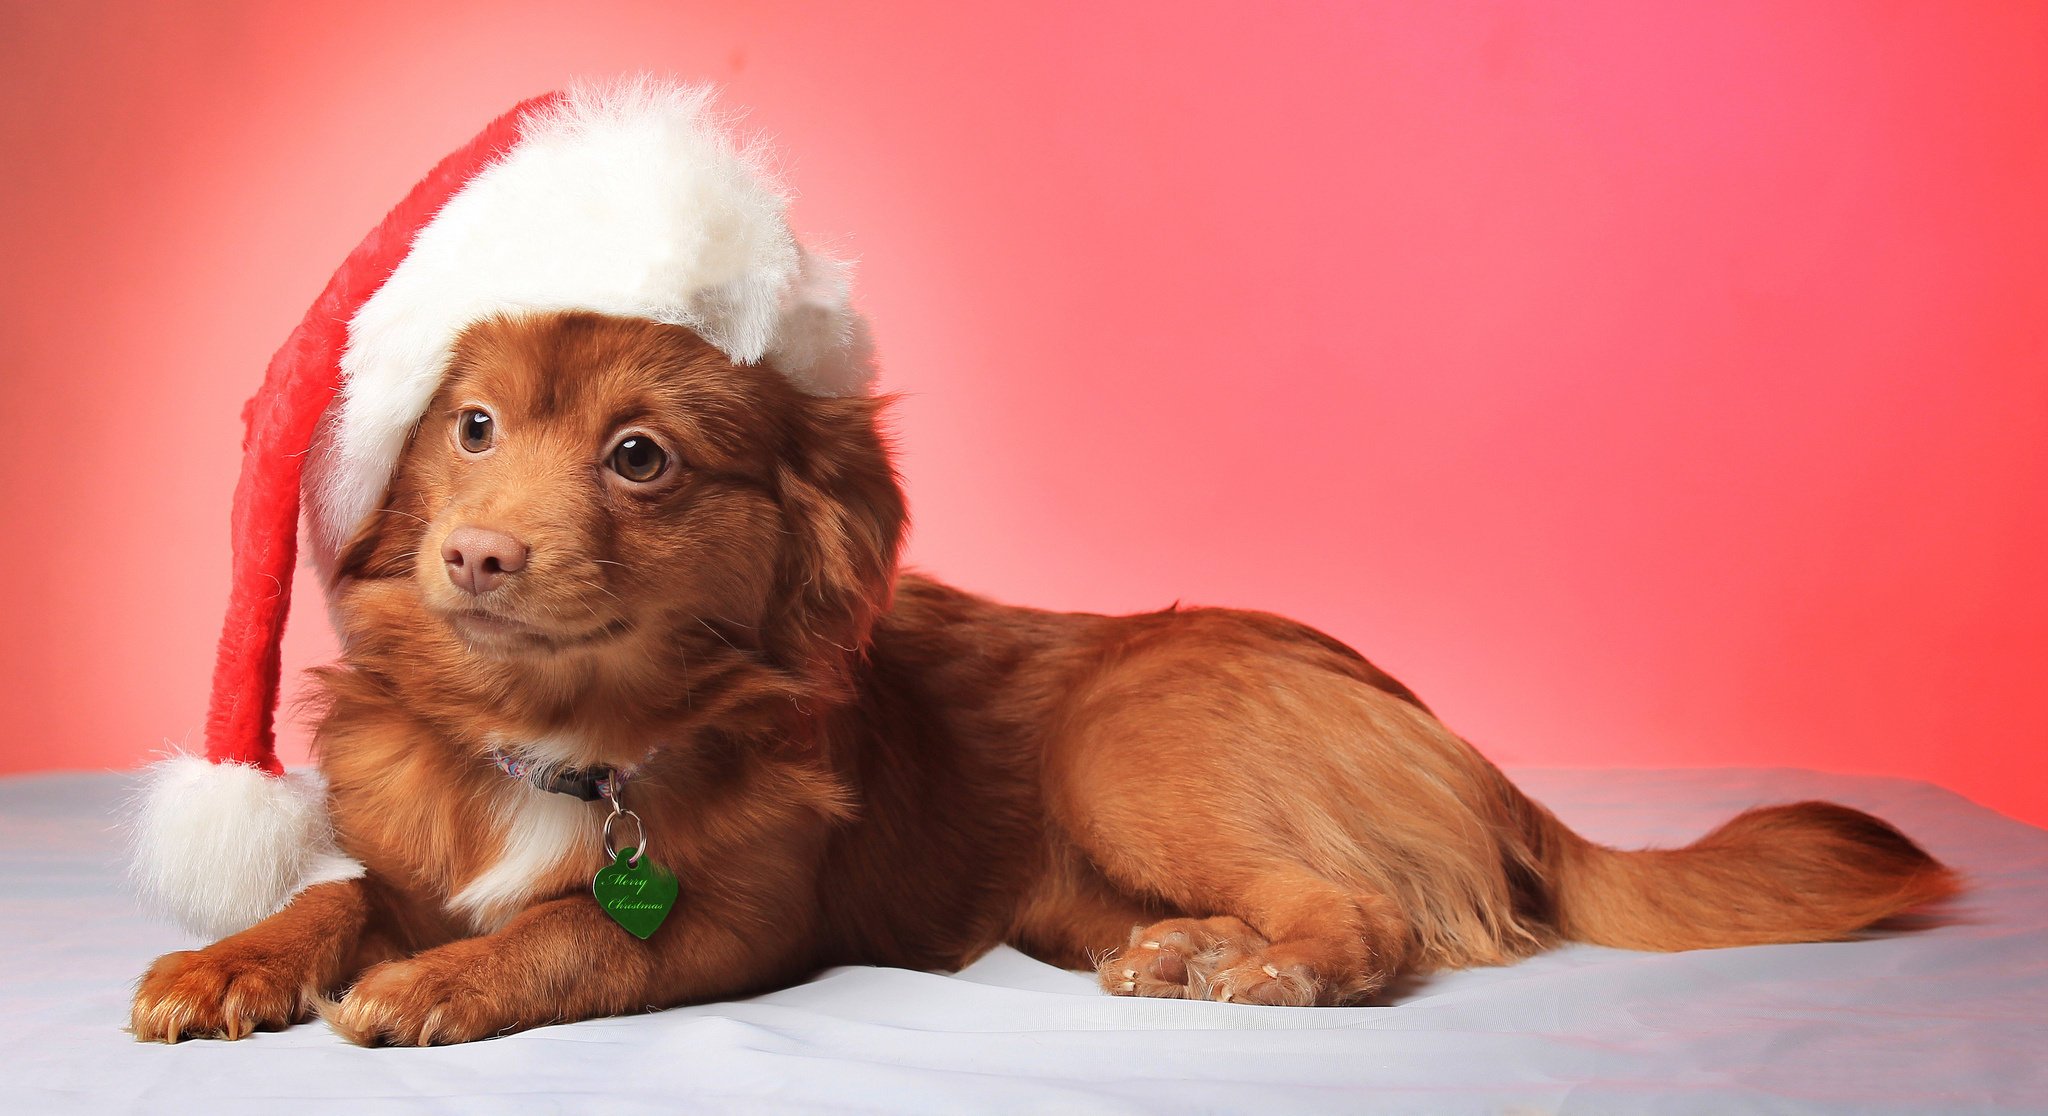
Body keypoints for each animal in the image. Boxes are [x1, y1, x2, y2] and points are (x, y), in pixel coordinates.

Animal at [128, 311, 1949, 1044]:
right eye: (471, 427)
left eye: (639, 456)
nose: (478, 558)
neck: (557, 740)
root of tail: (1460, 746)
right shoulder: (407, 857)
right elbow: (334, 895)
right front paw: (229, 962)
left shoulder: (732, 927)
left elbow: (572, 929)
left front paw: (438, 985)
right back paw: (1192, 948)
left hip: (1127, 741)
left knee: (1369, 920)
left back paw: (1248, 967)